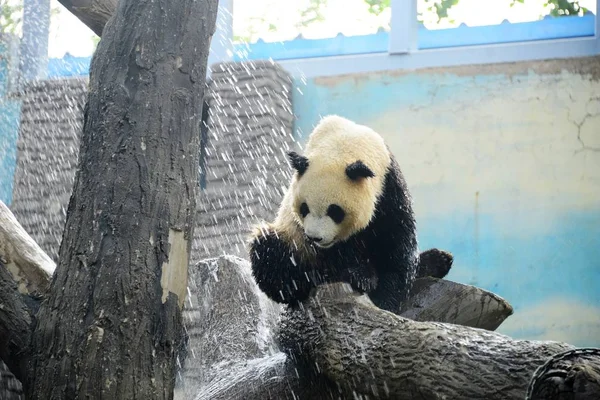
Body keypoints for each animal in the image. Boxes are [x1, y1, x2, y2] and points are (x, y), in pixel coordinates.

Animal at [247, 115, 440, 312]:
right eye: (304, 208)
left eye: (334, 211)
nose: (314, 238)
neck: (342, 142)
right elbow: (339, 257)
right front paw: (362, 276)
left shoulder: (388, 186)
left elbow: (395, 242)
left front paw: (384, 299)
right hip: (292, 240)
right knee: (271, 253)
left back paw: (437, 260)